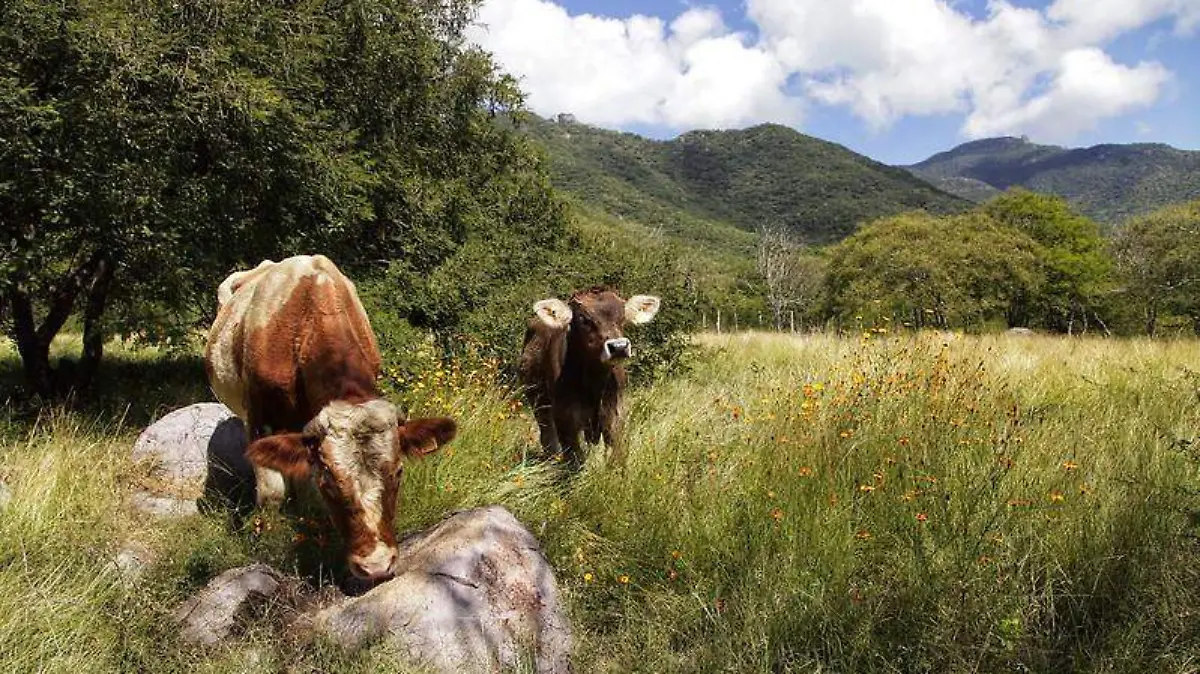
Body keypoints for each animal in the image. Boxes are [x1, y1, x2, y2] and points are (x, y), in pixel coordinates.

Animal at [204, 254, 456, 580]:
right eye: (329, 483)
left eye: (398, 472)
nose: (376, 565)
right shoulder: (261, 417)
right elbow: (272, 491)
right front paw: (269, 537)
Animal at [518, 285, 662, 470]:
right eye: (583, 319)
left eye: (622, 315)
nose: (619, 347)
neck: (594, 384)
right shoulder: (564, 417)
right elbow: (574, 459)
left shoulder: (615, 412)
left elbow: (616, 454)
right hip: (539, 402)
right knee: (548, 437)